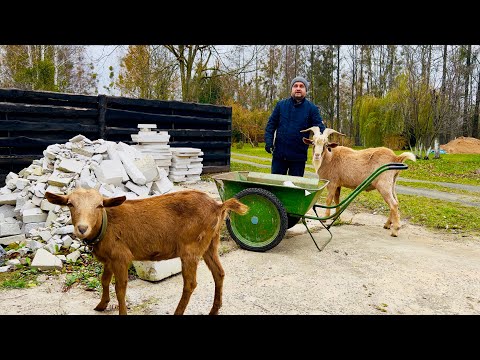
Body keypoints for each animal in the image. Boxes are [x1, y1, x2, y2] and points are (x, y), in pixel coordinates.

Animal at [45, 188, 249, 316]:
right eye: (70, 204)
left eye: (99, 205)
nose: (82, 228)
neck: (106, 225)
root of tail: (218, 206)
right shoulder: (109, 259)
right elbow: (104, 281)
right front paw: (101, 305)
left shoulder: (121, 257)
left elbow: (120, 288)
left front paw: (122, 311)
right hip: (210, 245)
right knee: (219, 273)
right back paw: (214, 310)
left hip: (191, 248)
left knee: (190, 284)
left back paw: (178, 312)